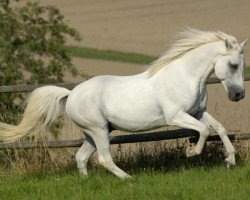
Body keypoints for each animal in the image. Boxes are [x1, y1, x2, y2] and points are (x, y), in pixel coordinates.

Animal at [0, 27, 247, 178]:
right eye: (233, 64)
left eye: (242, 65)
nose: (238, 96)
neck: (184, 76)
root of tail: (71, 94)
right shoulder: (176, 117)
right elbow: (204, 131)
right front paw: (190, 153)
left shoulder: (197, 113)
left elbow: (219, 128)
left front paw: (230, 160)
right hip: (98, 130)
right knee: (103, 159)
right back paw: (128, 178)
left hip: (94, 132)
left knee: (81, 157)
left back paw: (87, 182)